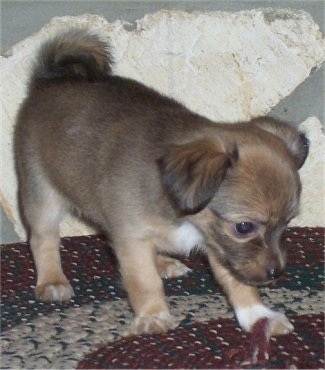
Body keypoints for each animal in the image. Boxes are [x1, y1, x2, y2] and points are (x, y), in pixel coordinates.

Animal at [15, 30, 308, 336]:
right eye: (244, 227)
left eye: (288, 223)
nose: (277, 272)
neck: (182, 214)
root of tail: (47, 81)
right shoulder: (133, 239)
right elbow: (144, 282)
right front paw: (153, 316)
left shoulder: (221, 248)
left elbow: (239, 284)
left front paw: (259, 316)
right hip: (43, 197)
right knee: (43, 239)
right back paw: (52, 281)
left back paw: (164, 262)